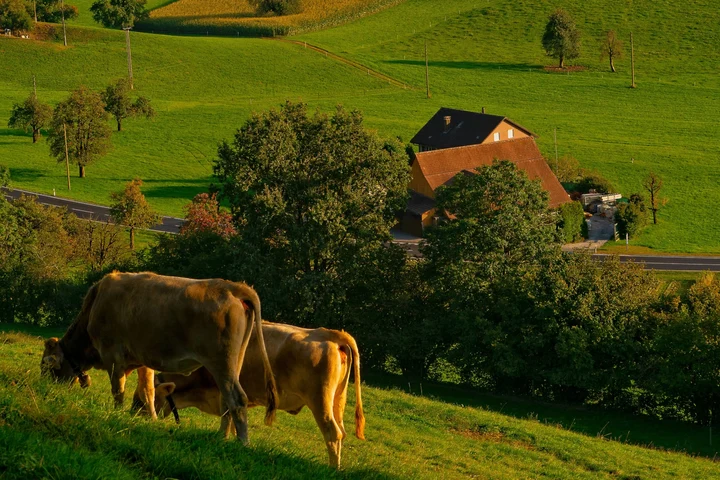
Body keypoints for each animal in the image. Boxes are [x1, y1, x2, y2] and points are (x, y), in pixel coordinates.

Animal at [40, 272, 280, 444]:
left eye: (46, 367)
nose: (48, 391)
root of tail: (231, 286)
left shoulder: (113, 355)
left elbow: (118, 390)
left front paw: (114, 414)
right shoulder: (142, 359)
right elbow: (148, 390)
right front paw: (151, 419)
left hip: (221, 362)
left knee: (236, 399)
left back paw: (241, 442)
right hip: (233, 362)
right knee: (226, 401)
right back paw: (222, 436)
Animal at [136, 320, 366, 466]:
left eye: (140, 398)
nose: (132, 415)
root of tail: (327, 333)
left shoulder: (224, 387)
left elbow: (227, 412)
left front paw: (221, 438)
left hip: (320, 399)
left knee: (332, 433)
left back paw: (332, 468)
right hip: (337, 400)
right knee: (341, 432)